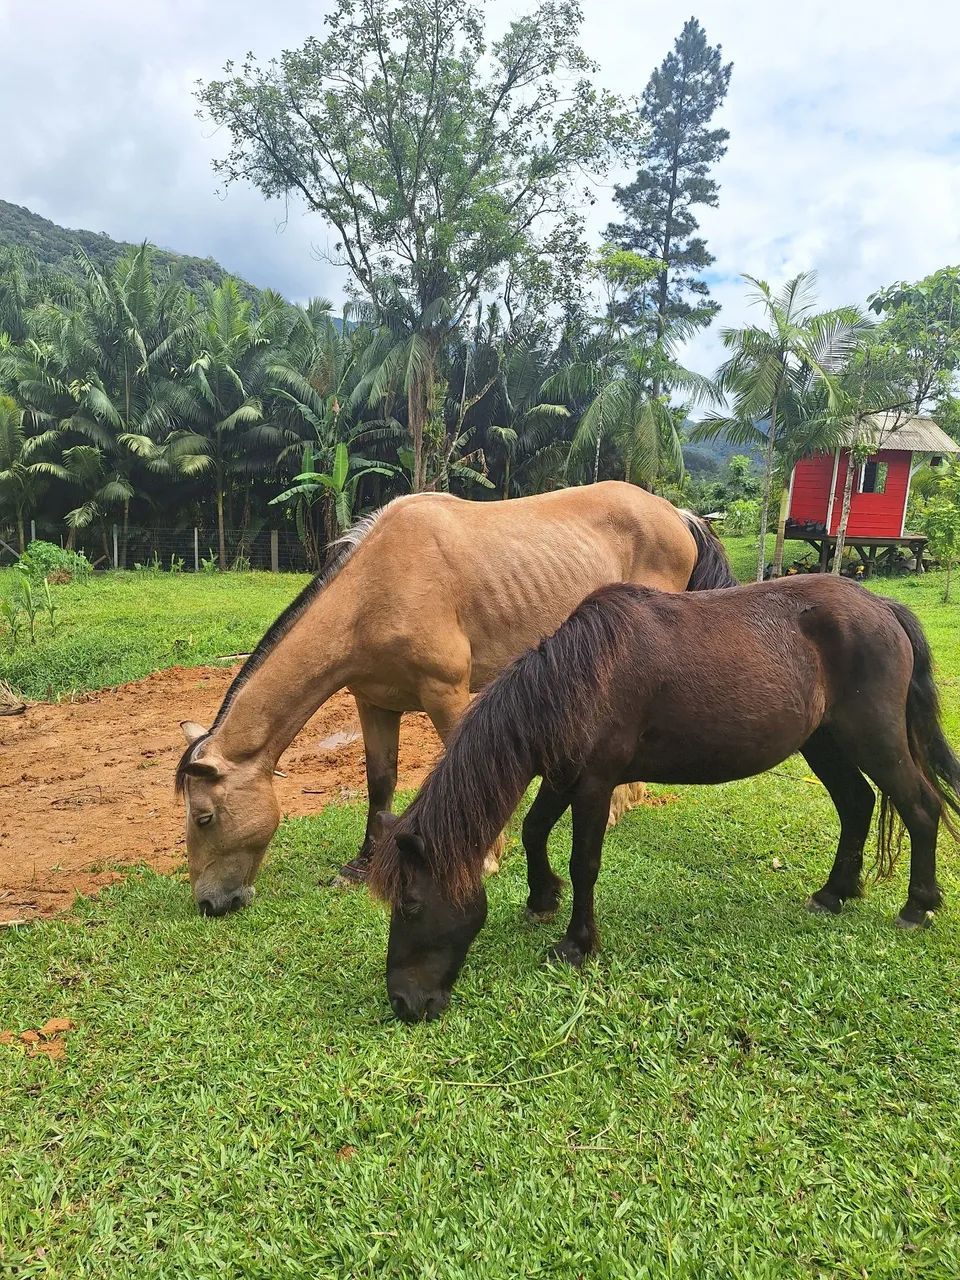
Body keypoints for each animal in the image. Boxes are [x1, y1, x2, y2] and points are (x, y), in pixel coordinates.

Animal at [175, 483, 736, 916]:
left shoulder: (447, 693)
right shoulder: (374, 703)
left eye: (204, 818)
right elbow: (380, 784)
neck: (375, 589)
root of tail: (677, 514)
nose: (210, 904)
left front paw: (485, 857)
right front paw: (360, 864)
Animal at [369, 577, 960, 1022]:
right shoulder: (562, 777)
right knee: (857, 804)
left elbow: (584, 863)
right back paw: (834, 893)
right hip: (824, 742)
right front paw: (541, 898)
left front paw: (576, 944)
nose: (404, 1002)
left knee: (921, 808)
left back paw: (917, 906)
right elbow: (535, 831)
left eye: (411, 903)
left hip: (874, 739)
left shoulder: (593, 784)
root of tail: (881, 606)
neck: (578, 679)